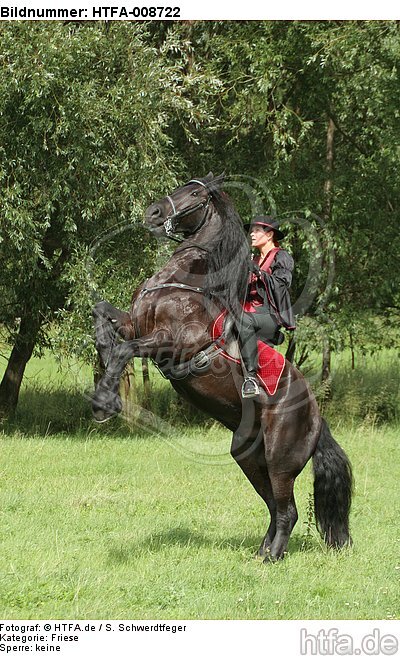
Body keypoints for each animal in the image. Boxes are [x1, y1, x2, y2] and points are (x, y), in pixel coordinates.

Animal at [91, 172, 353, 563]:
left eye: (194, 194)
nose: (153, 212)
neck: (185, 282)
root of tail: (316, 417)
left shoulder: (171, 343)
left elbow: (125, 349)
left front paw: (103, 403)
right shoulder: (134, 324)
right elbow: (103, 317)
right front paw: (103, 362)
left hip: (280, 459)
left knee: (287, 510)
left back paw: (272, 558)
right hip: (248, 455)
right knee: (274, 508)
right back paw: (261, 553)